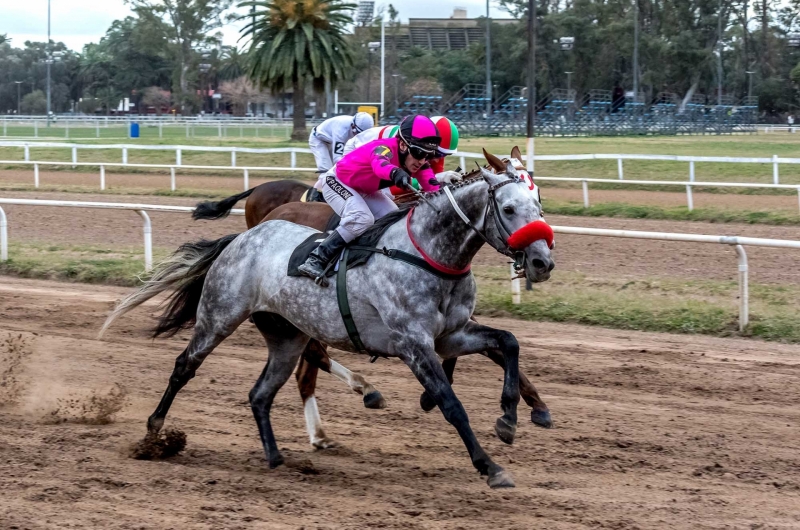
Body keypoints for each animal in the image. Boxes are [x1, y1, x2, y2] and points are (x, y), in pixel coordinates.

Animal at [100, 155, 552, 484]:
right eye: (509, 208)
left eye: (539, 204)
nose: (542, 261)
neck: (428, 252)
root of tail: (242, 238)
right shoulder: (414, 344)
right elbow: (451, 404)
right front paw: (489, 465)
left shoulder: (451, 334)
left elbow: (508, 341)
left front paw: (510, 417)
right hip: (219, 315)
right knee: (185, 366)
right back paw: (154, 432)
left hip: (287, 336)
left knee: (262, 393)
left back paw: (277, 457)